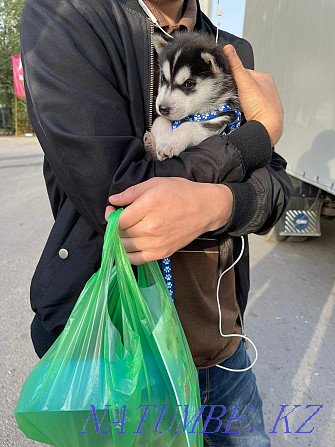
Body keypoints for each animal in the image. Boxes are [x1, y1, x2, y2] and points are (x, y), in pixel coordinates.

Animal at [144, 32, 242, 163]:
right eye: (163, 78)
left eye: (189, 83)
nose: (163, 108)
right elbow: (160, 120)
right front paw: (162, 141)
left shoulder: (223, 120)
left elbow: (189, 126)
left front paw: (170, 143)